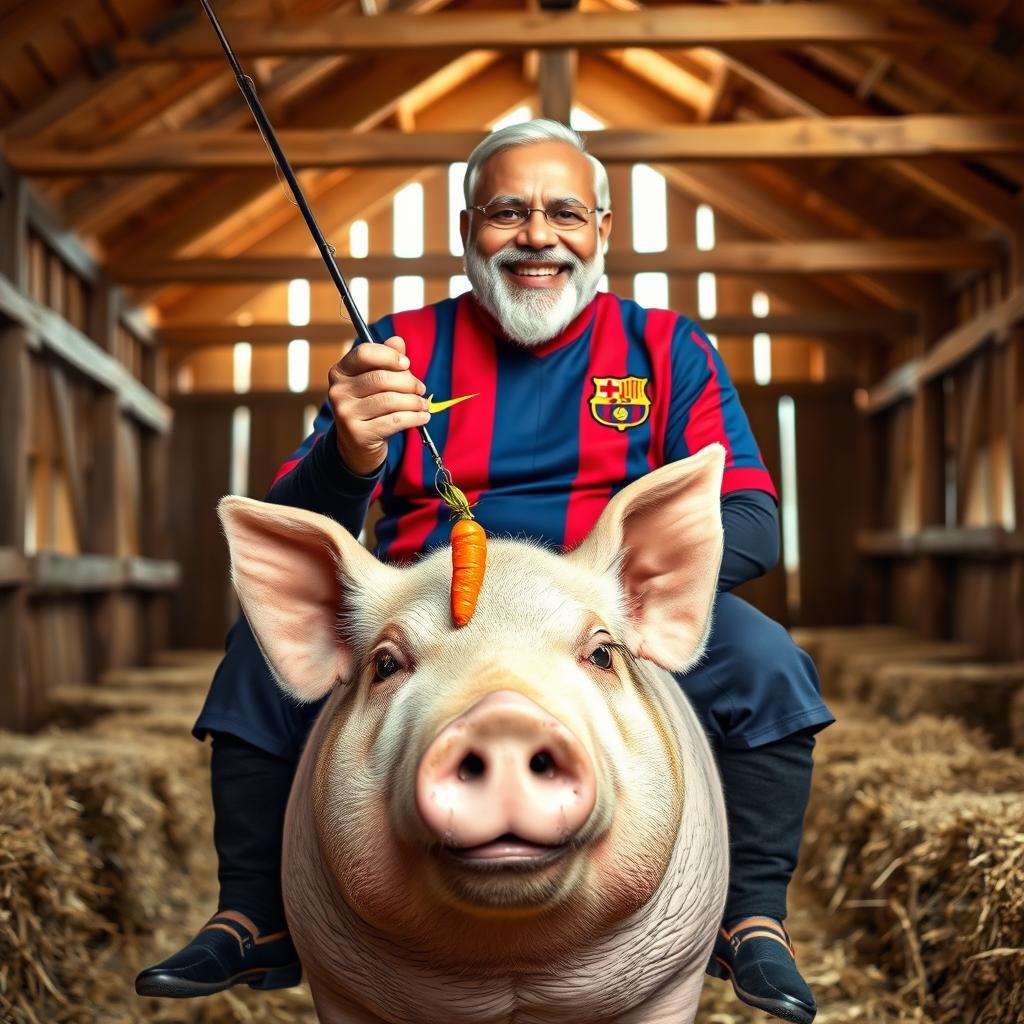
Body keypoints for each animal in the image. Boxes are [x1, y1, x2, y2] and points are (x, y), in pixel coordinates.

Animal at [218, 444, 729, 1019]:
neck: (508, 962)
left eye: (601, 653)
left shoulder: (677, 974)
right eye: (386, 664)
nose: (503, 718)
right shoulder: (333, 981)